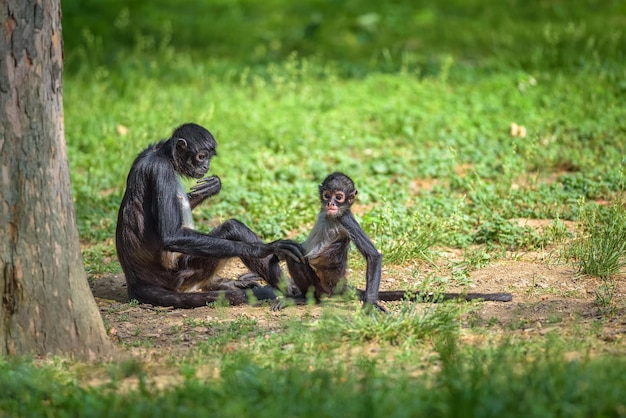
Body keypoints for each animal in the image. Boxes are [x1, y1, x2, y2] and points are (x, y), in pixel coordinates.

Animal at [116, 122, 304, 308]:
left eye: (208, 158)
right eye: (201, 156)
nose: (206, 166)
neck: (161, 154)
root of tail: (136, 281)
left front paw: (211, 188)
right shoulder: (161, 169)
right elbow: (171, 236)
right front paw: (266, 248)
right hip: (183, 273)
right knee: (233, 227)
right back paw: (295, 294)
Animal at [286, 172, 510, 310]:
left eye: (339, 197)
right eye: (327, 195)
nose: (331, 204)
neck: (331, 216)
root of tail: (341, 285)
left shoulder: (345, 219)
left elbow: (374, 256)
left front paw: (370, 306)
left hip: (323, 288)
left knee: (294, 257)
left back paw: (306, 299)